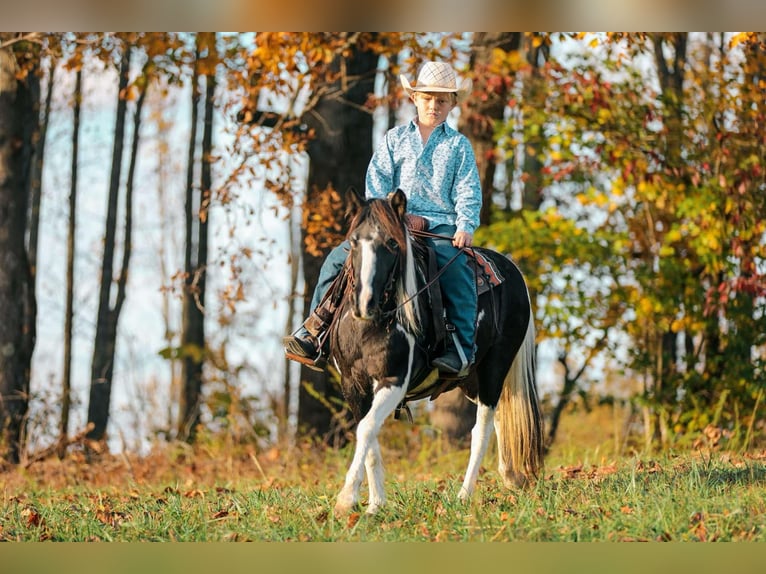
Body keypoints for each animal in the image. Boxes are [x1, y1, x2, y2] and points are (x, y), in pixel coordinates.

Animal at [328, 187, 544, 516]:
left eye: (392, 243)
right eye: (353, 241)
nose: (365, 303)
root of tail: (511, 270)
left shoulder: (394, 380)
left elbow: (366, 430)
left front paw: (346, 499)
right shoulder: (353, 385)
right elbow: (369, 433)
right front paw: (376, 505)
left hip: (495, 368)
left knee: (481, 431)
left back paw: (465, 495)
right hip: (472, 382)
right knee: (499, 420)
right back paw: (511, 477)